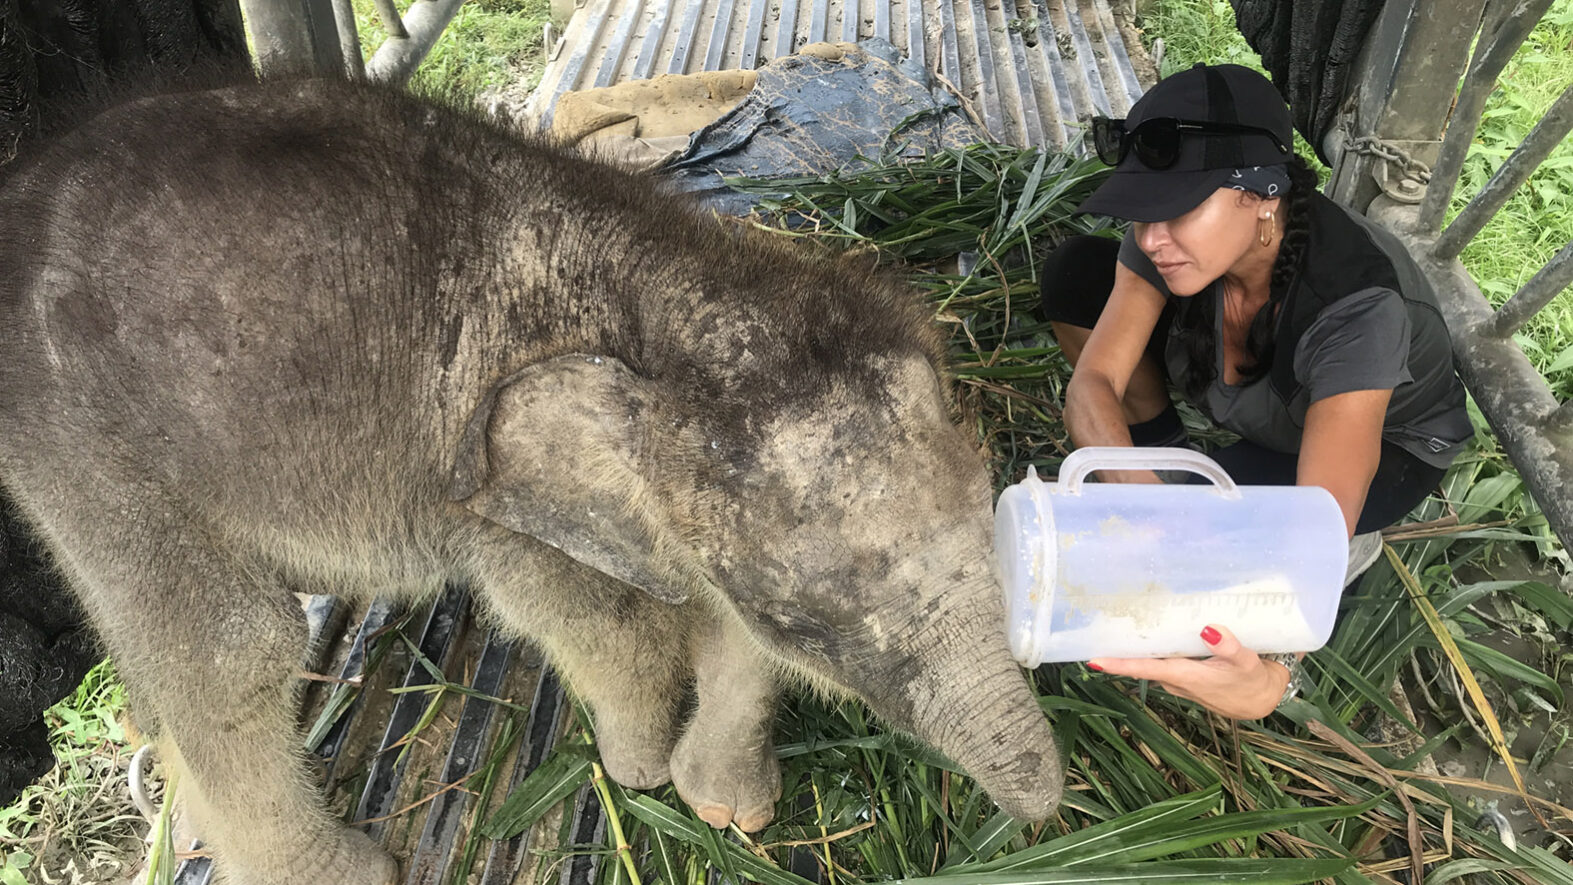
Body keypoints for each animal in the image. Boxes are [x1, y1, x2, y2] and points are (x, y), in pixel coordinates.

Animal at [0, 75, 1062, 885]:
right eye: (807, 625)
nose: (1051, 812)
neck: (664, 284)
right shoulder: (488, 500)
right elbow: (599, 623)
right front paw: (638, 773)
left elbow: (712, 625)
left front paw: (726, 808)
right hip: (80, 441)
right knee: (231, 646)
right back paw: (339, 867)